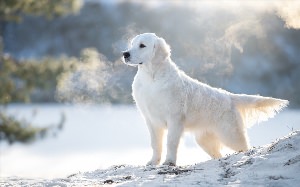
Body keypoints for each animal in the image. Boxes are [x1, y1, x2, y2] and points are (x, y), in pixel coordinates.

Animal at [122, 33, 288, 165]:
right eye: (132, 44)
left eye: (142, 45)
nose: (125, 54)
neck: (151, 78)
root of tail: (230, 97)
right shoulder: (151, 120)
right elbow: (155, 144)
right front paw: (153, 162)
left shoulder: (174, 118)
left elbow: (171, 142)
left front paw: (169, 162)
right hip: (205, 140)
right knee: (219, 154)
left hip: (231, 134)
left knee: (245, 147)